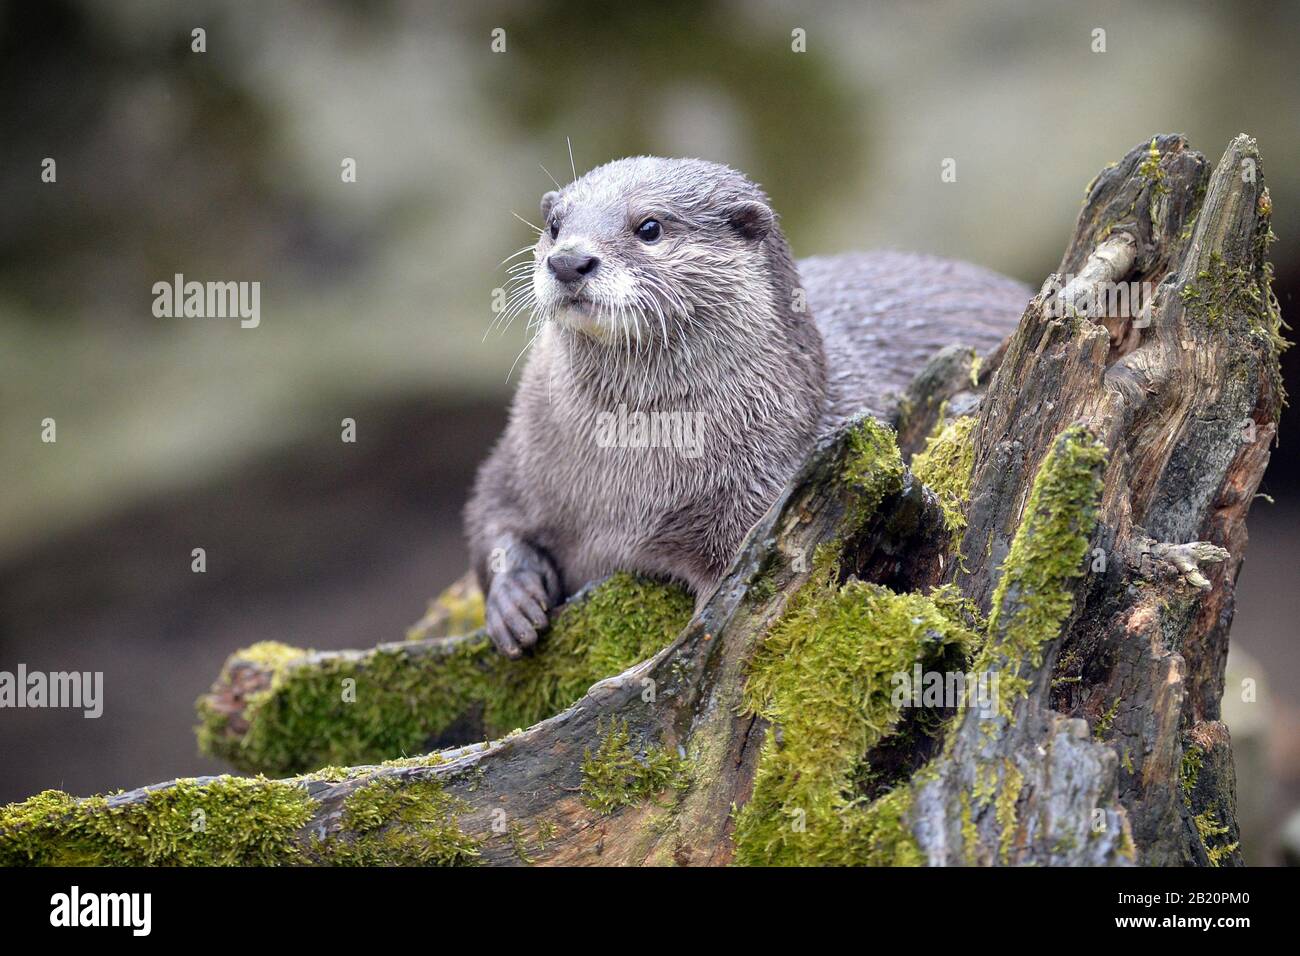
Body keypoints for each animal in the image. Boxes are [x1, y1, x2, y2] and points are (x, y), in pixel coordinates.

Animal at [467, 158, 1024, 658]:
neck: (623, 492)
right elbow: (487, 515)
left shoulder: (764, 490)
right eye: (555, 226)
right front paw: (514, 600)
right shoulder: (520, 455)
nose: (567, 260)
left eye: (649, 227)